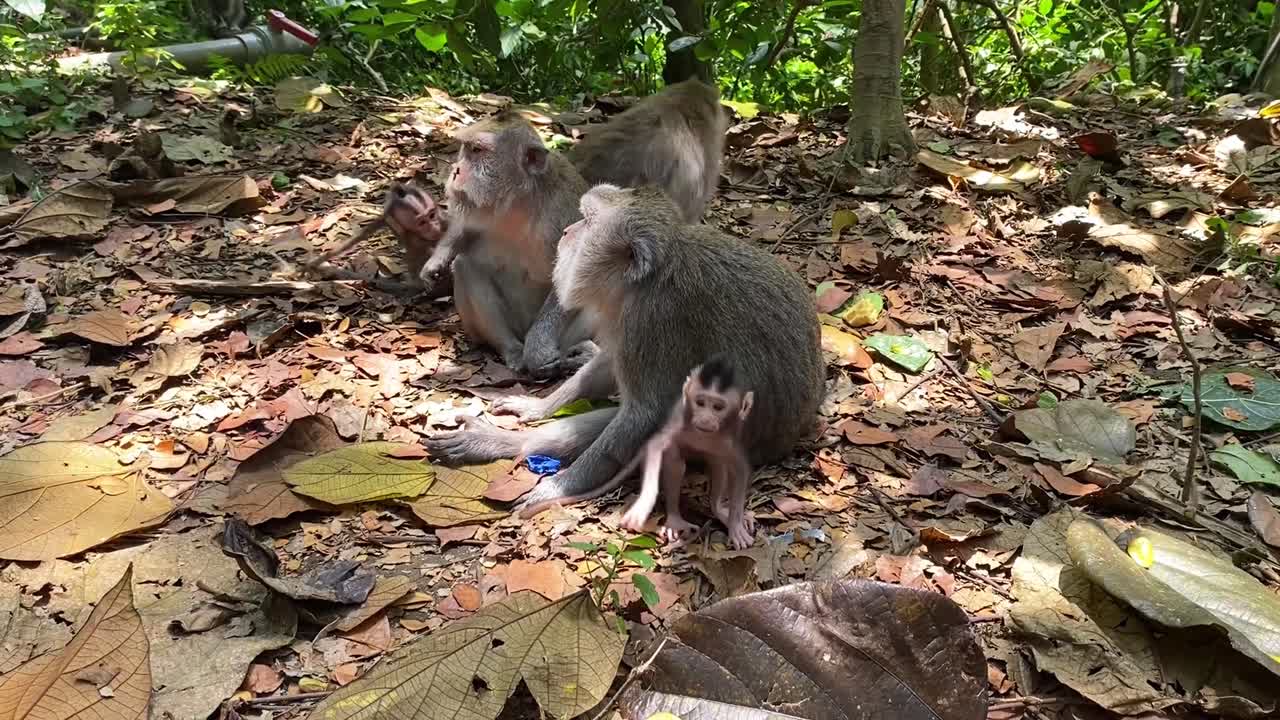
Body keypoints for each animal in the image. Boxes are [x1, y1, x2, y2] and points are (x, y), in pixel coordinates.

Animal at [426, 184, 824, 519]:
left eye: (587, 220)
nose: (567, 231)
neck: (655, 272)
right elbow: (607, 368)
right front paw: (536, 407)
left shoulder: (652, 318)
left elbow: (644, 411)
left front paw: (557, 488)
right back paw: (498, 442)